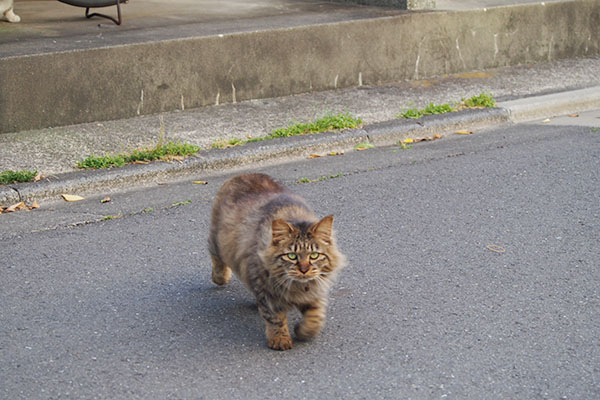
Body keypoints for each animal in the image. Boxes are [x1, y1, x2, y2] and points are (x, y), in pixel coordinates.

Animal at [207, 172, 344, 350]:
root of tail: (243, 174)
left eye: (314, 255)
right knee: (216, 259)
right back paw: (221, 277)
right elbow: (275, 318)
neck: (297, 287)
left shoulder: (315, 289)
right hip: (219, 242)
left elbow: (316, 316)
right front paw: (280, 340)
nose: (304, 269)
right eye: (291, 256)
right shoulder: (266, 291)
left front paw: (304, 331)